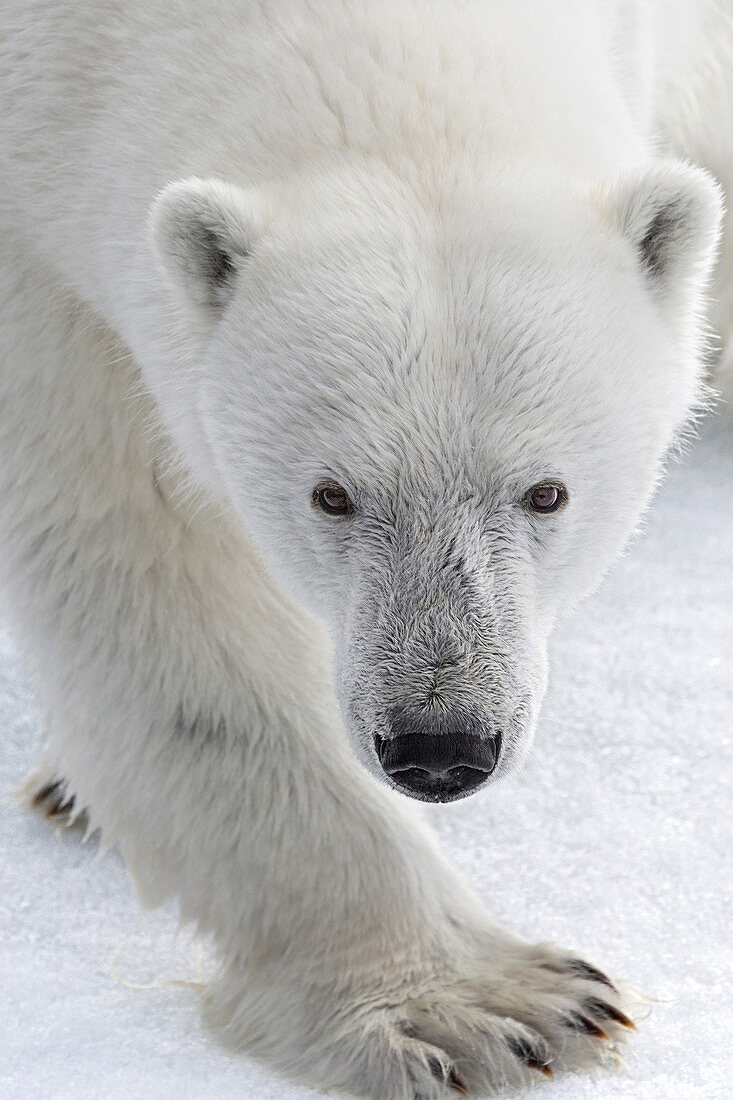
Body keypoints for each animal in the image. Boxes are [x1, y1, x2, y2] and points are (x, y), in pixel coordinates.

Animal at [0, 0, 726, 1095]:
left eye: (545, 491)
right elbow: (143, 559)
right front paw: (484, 1009)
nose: (440, 746)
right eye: (331, 494)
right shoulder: (38, 234)